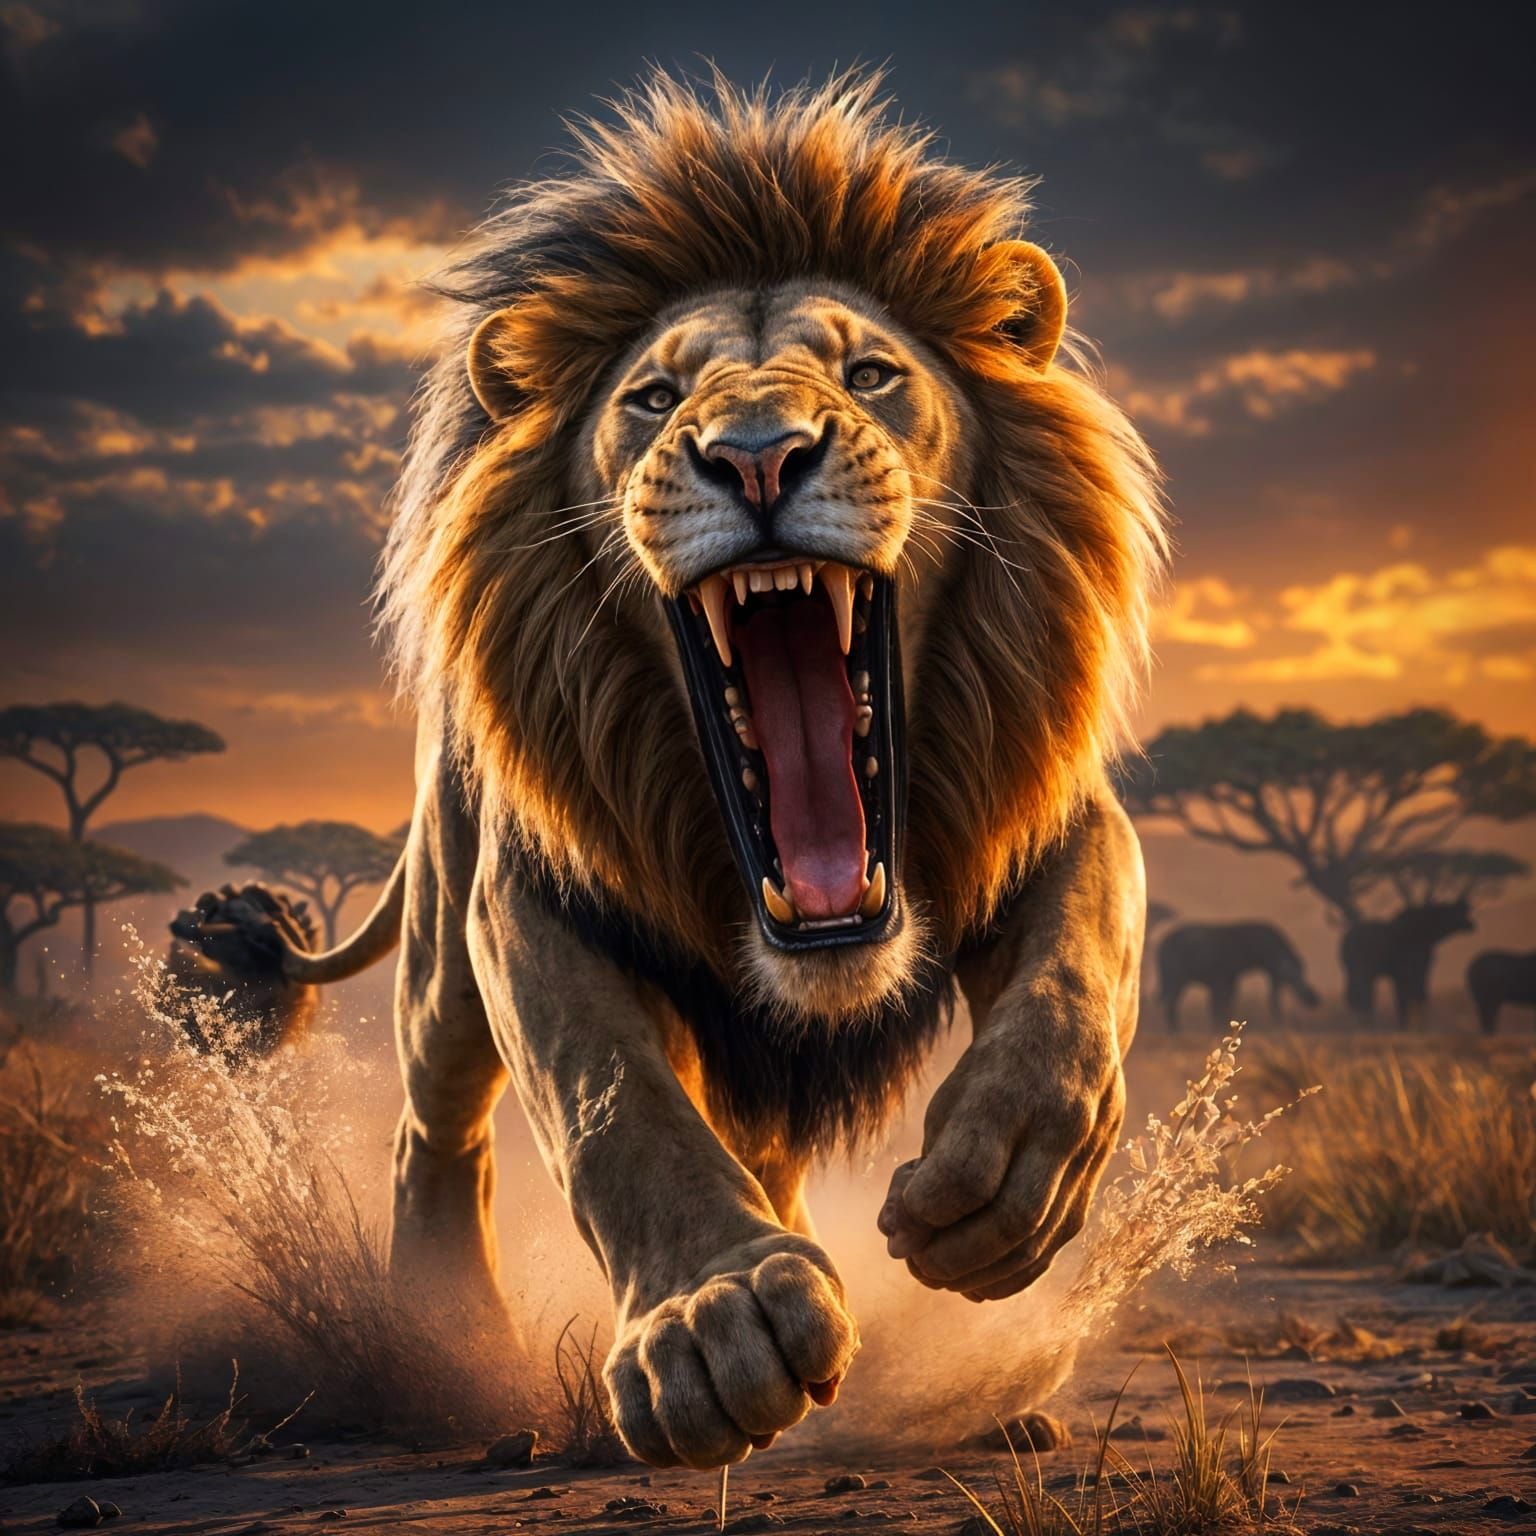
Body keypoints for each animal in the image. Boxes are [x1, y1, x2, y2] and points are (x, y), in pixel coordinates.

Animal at [171, 69, 1166, 1469]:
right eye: (651, 399)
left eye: (871, 373)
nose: (756, 455)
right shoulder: (530, 903)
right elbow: (613, 1106)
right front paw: (714, 1320)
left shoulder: (1045, 815)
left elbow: (1076, 979)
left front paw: (1003, 1187)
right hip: (440, 934)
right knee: (438, 1120)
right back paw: (440, 1332)